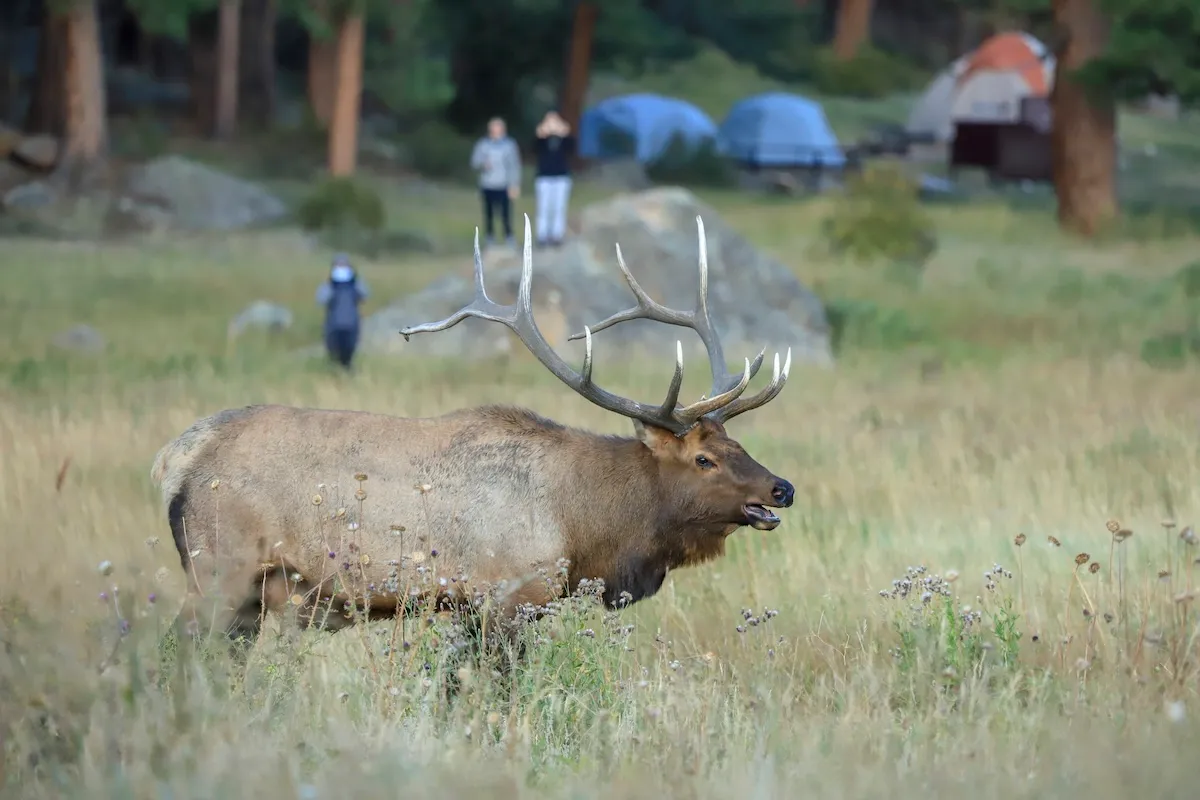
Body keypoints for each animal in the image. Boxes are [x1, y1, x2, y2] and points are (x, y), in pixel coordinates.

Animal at [149, 214, 795, 661]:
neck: (584, 525)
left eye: (737, 446)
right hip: (220, 570)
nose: (782, 488)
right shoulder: (507, 596)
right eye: (704, 459)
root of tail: (171, 459)